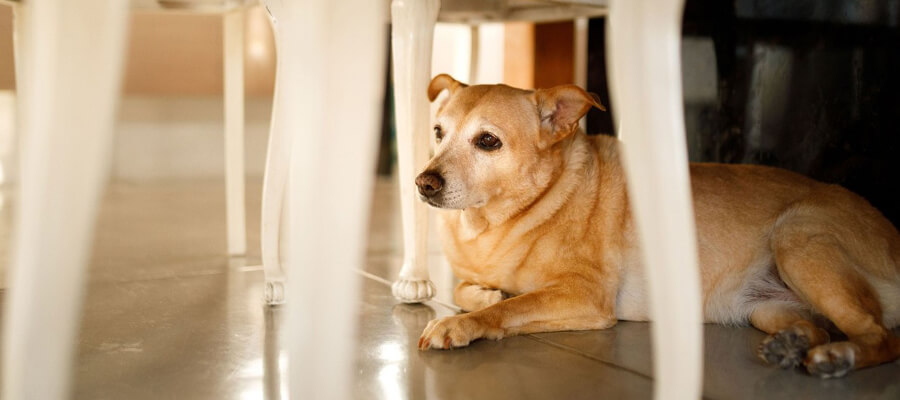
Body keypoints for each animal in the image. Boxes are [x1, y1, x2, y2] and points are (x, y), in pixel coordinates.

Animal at [414, 72, 900, 378]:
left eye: (488, 141)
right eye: (438, 132)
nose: (423, 182)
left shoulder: (585, 295)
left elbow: (508, 309)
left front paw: (461, 323)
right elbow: (468, 289)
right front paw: (485, 293)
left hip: (797, 236)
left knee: (881, 337)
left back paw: (838, 357)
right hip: (766, 307)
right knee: (821, 326)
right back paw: (795, 343)